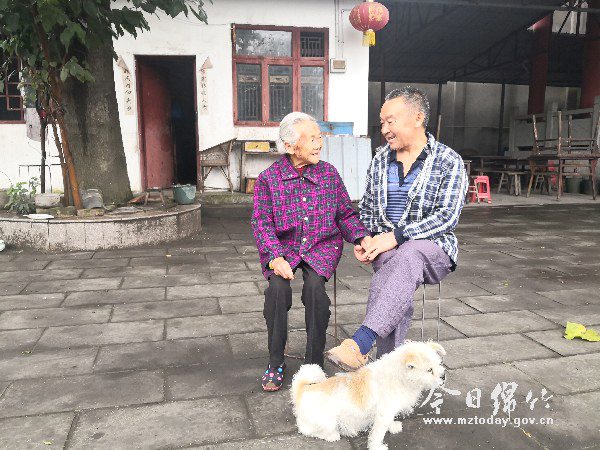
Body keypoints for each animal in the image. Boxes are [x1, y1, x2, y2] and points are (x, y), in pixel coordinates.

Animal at [291, 341, 446, 450]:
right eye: (429, 370)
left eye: (440, 364)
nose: (443, 376)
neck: (400, 377)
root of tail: (302, 390)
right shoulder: (383, 415)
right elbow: (378, 434)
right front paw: (377, 447)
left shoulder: (388, 414)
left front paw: (393, 427)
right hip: (326, 422)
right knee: (308, 430)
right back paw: (332, 436)